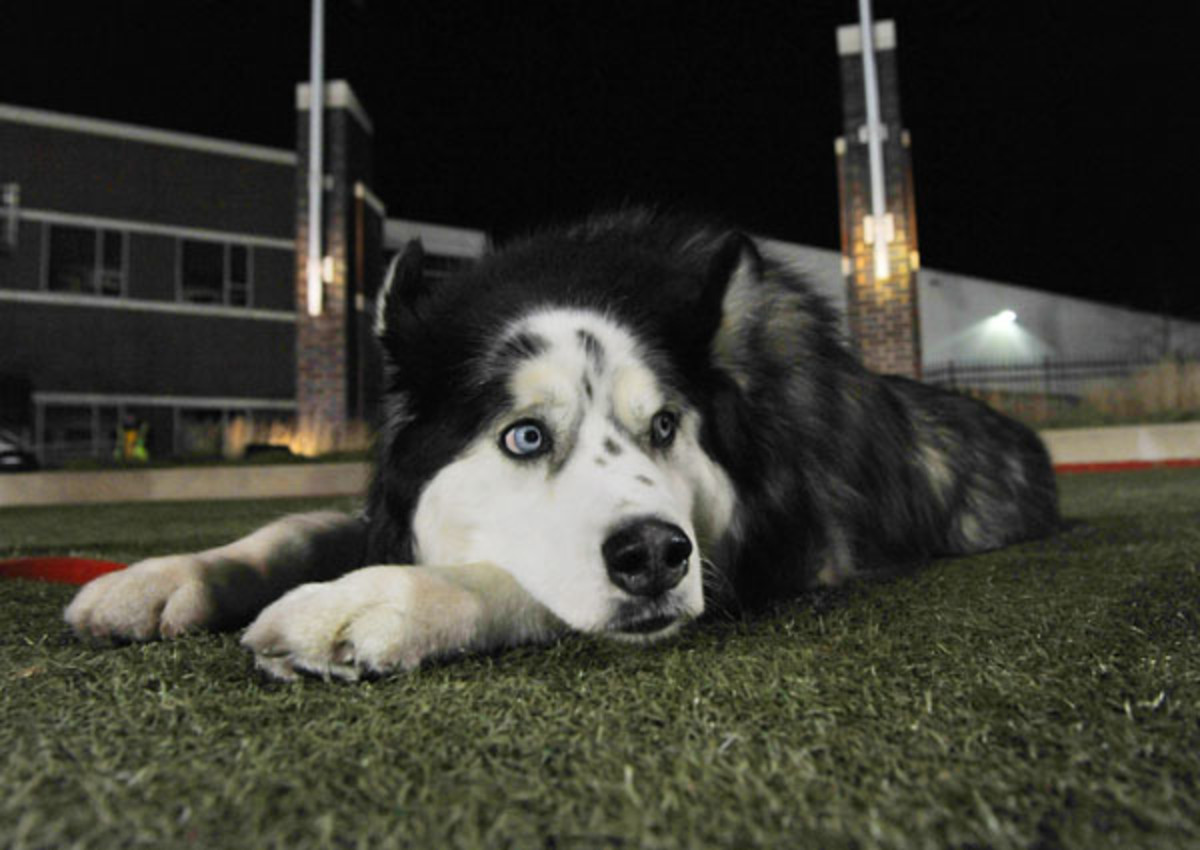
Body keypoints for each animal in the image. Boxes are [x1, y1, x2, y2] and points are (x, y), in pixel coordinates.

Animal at [68, 208, 1060, 681]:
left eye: (664, 427)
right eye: (526, 435)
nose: (656, 555)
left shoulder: (770, 562)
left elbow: (516, 583)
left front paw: (374, 601)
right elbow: (296, 528)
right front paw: (161, 578)